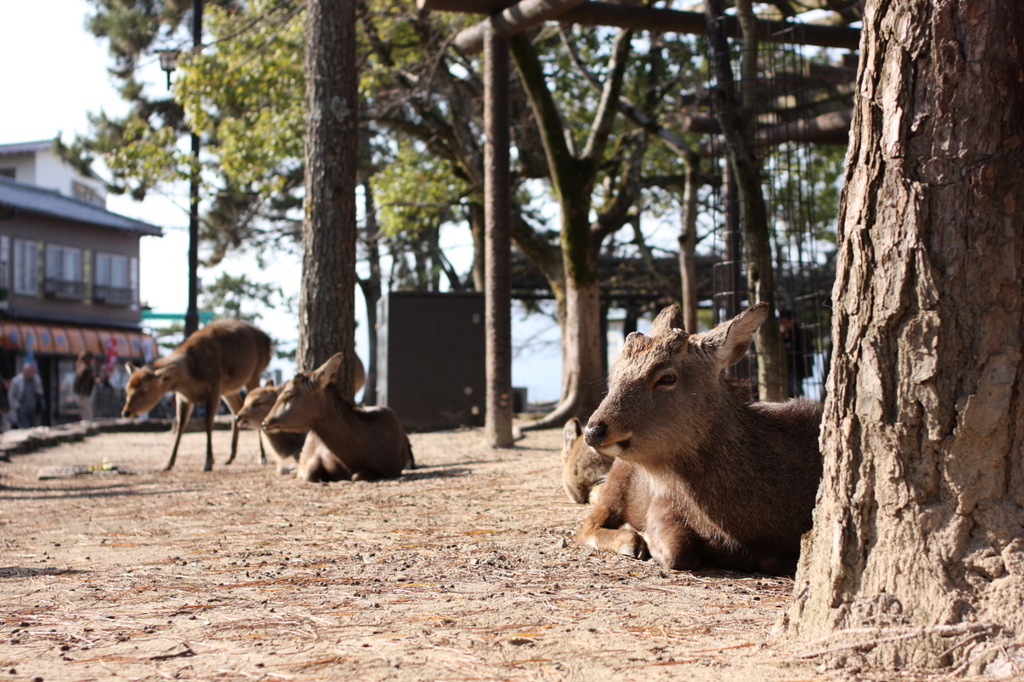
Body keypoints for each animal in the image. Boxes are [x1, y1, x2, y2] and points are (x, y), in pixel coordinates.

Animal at [122, 319, 272, 473]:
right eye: (127, 388)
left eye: (144, 390)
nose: (125, 412)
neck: (189, 374)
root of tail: (267, 339)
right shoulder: (182, 397)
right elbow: (180, 425)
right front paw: (168, 463)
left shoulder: (213, 387)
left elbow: (207, 423)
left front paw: (208, 463)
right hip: (228, 389)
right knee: (237, 409)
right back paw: (229, 458)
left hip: (254, 374)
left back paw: (261, 457)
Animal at [235, 352, 368, 475]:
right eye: (245, 399)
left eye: (259, 401)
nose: (238, 417)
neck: (286, 449)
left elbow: (282, 467)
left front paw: (292, 469)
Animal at [262, 352, 413, 481]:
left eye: (289, 395)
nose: (265, 422)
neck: (353, 459)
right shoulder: (315, 455)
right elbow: (309, 473)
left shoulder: (393, 469)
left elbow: (356, 476)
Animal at [577, 303, 823, 573]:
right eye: (613, 375)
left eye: (667, 377)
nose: (593, 431)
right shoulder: (663, 501)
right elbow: (678, 552)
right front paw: (645, 536)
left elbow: (779, 559)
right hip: (616, 480)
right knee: (587, 524)